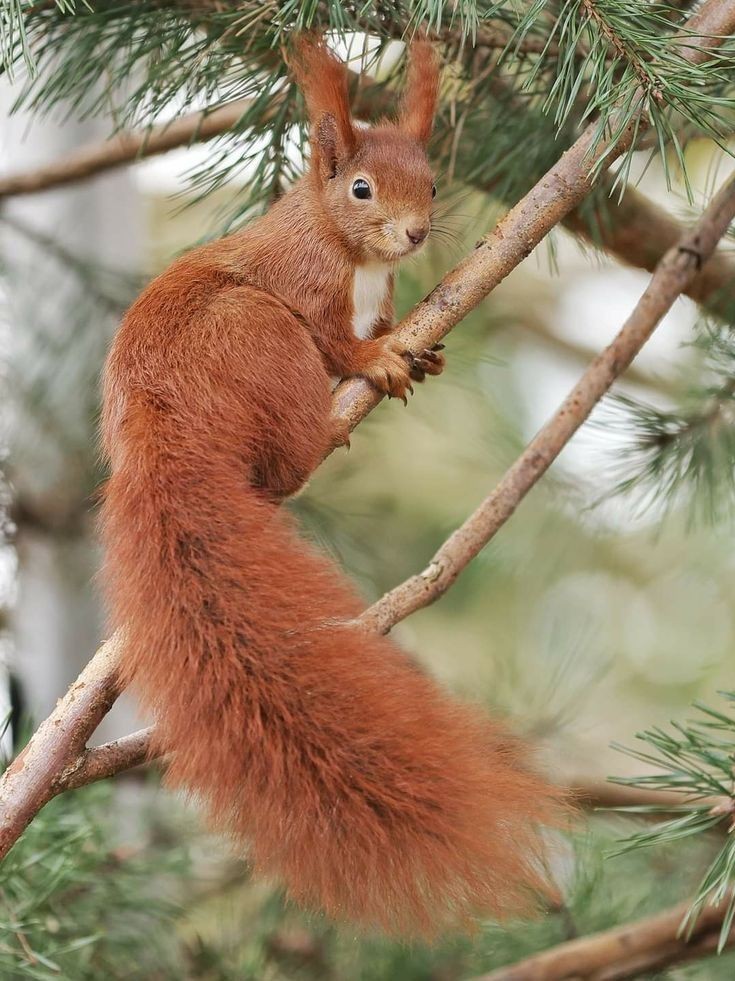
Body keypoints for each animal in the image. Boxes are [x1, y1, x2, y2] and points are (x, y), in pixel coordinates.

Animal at [99, 36, 564, 936]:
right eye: (359, 188)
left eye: (430, 180)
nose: (415, 232)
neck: (354, 257)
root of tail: (156, 423)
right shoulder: (304, 291)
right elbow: (335, 339)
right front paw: (375, 357)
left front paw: (418, 346)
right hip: (259, 334)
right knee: (286, 448)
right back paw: (323, 430)